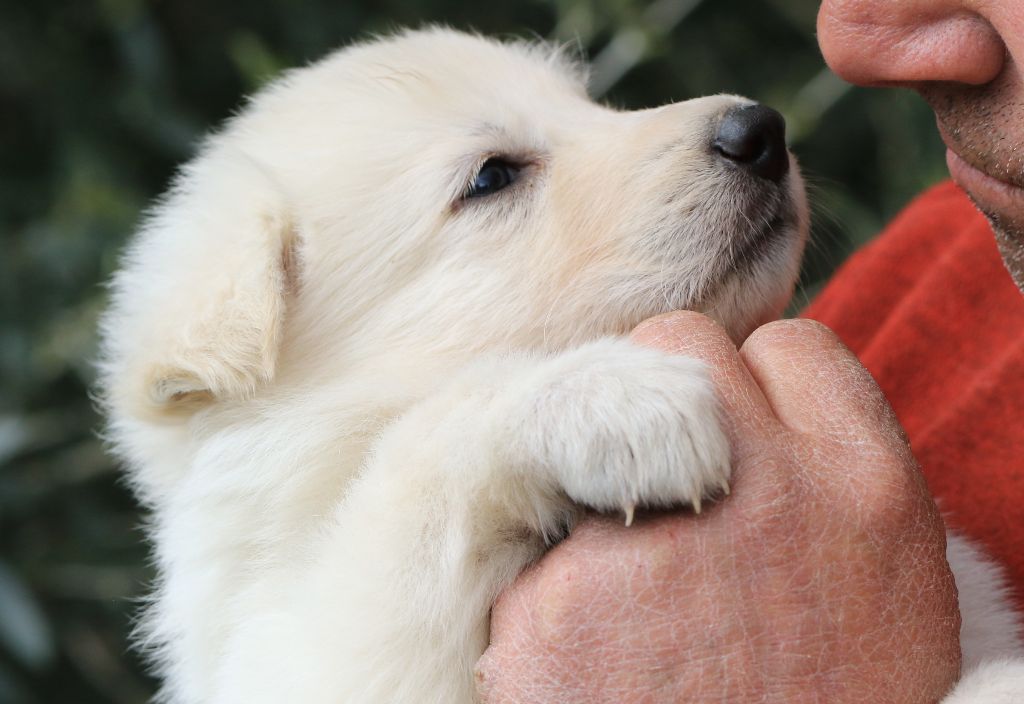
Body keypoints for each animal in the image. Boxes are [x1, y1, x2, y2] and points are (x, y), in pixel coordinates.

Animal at [99, 27, 1019, 704]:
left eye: (590, 103)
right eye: (492, 176)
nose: (759, 131)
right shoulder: (296, 650)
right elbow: (407, 489)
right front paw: (605, 395)